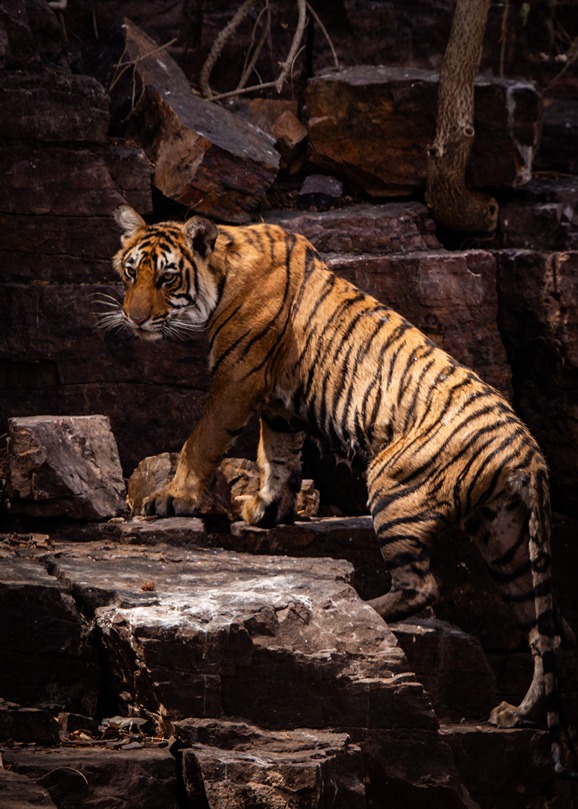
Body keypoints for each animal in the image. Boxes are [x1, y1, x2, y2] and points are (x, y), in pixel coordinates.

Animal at [107, 204, 576, 778]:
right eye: (131, 273)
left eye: (166, 277)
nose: (133, 319)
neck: (222, 268)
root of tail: (532, 453)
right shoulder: (280, 405)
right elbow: (278, 457)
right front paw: (264, 509)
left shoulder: (237, 379)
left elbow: (203, 440)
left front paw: (172, 498)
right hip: (507, 541)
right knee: (542, 631)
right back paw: (518, 714)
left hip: (395, 487)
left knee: (424, 586)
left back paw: (369, 610)